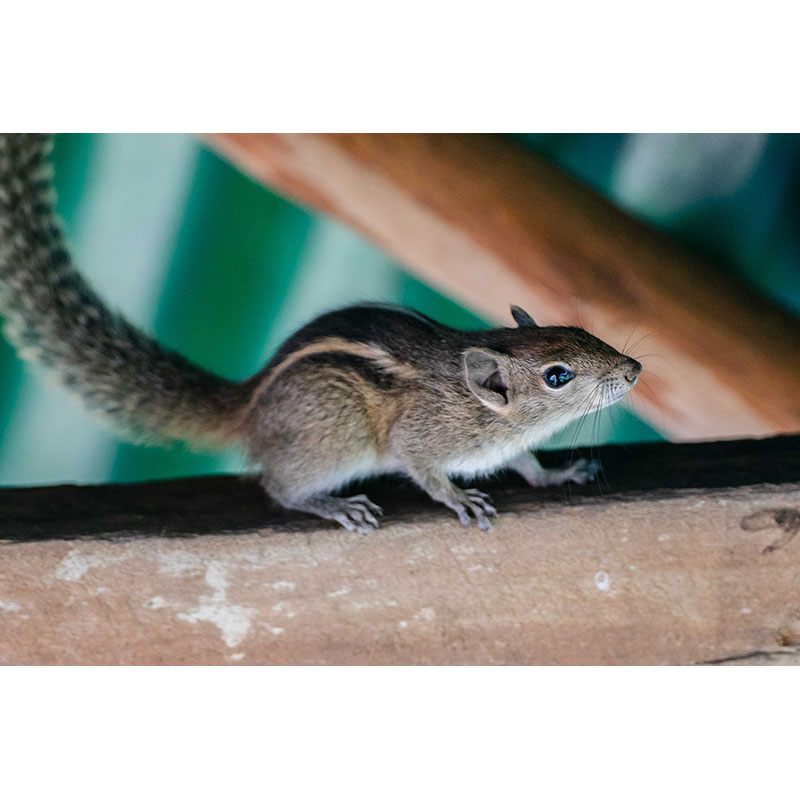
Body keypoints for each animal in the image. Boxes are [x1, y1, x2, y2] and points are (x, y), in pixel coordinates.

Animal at [0, 133, 640, 532]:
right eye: (557, 376)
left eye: (580, 331)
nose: (633, 369)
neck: (488, 413)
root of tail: (248, 407)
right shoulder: (420, 439)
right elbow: (427, 473)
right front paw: (459, 498)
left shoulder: (509, 447)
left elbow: (528, 467)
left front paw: (559, 473)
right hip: (337, 436)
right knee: (279, 489)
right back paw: (336, 508)